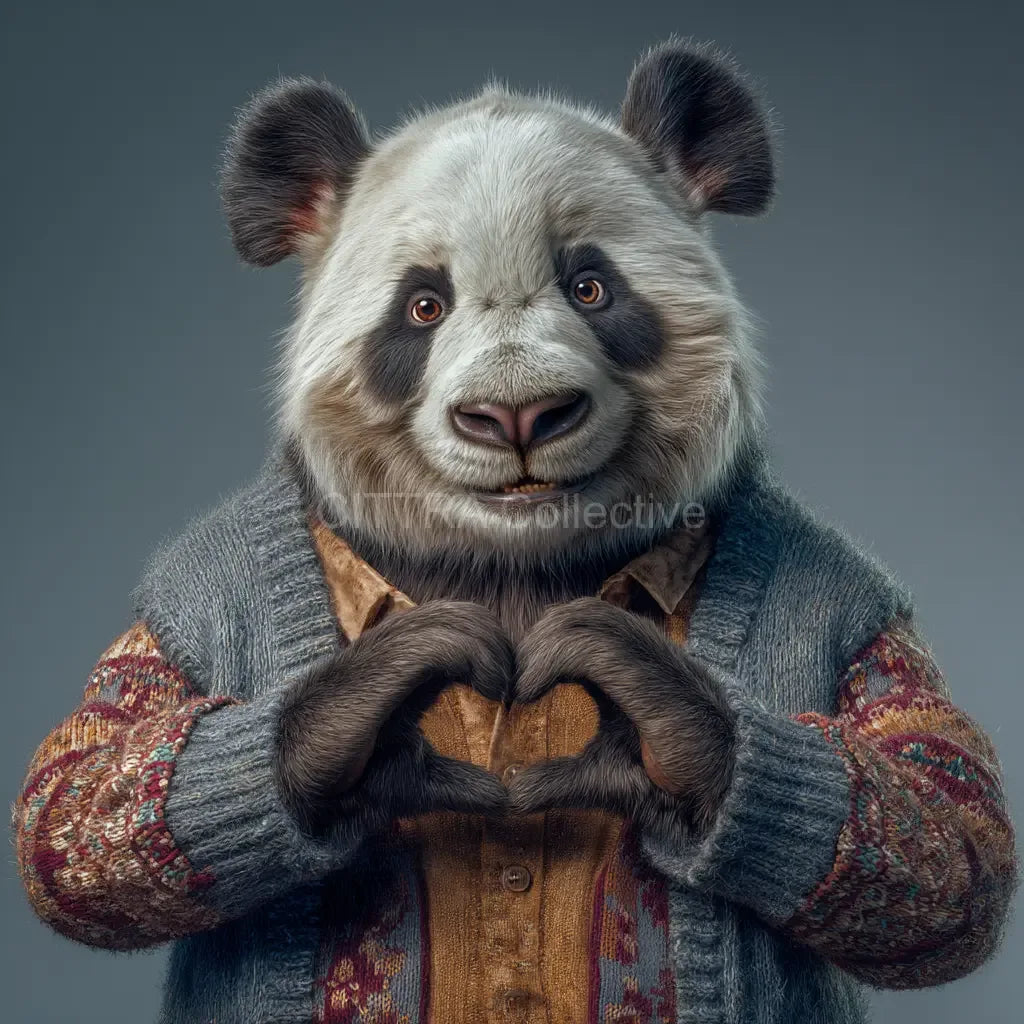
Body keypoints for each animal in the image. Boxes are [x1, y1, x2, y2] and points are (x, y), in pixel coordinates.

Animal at [14, 38, 1015, 1024]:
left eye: (592, 286)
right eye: (423, 305)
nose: (519, 415)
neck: (516, 560)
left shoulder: (851, 597)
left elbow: (950, 823)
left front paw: (620, 687)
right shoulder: (185, 599)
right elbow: (75, 797)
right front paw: (403, 684)